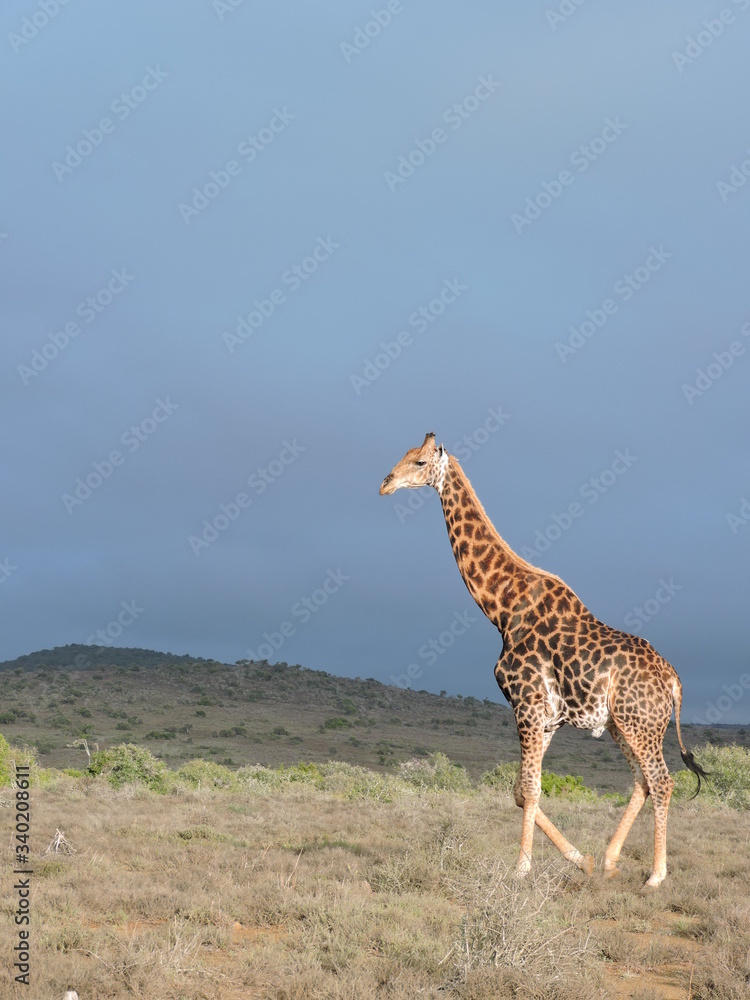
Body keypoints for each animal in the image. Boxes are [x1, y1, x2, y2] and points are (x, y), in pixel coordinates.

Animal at [380, 433, 706, 890]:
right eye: (405, 456)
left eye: (420, 462)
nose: (385, 484)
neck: (502, 608)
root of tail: (674, 680)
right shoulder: (546, 717)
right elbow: (520, 791)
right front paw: (580, 860)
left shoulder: (528, 704)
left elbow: (531, 790)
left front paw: (521, 868)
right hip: (624, 725)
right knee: (642, 782)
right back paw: (609, 861)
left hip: (640, 725)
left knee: (661, 782)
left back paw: (656, 877)